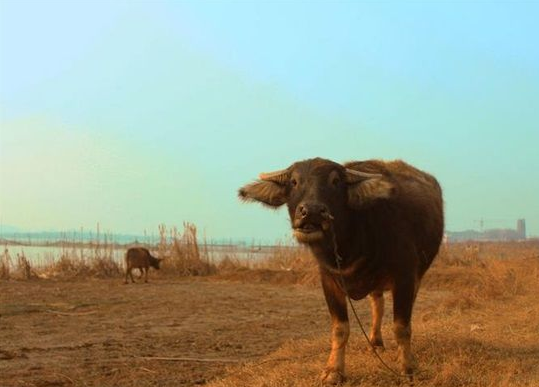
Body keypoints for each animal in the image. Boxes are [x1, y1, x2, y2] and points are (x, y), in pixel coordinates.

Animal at [239, 158, 442, 384]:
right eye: (294, 181)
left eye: (335, 181)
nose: (312, 211)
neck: (352, 240)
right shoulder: (329, 280)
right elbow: (340, 328)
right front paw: (333, 371)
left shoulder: (405, 275)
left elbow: (401, 326)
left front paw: (408, 368)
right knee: (377, 304)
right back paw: (375, 342)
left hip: (418, 275)